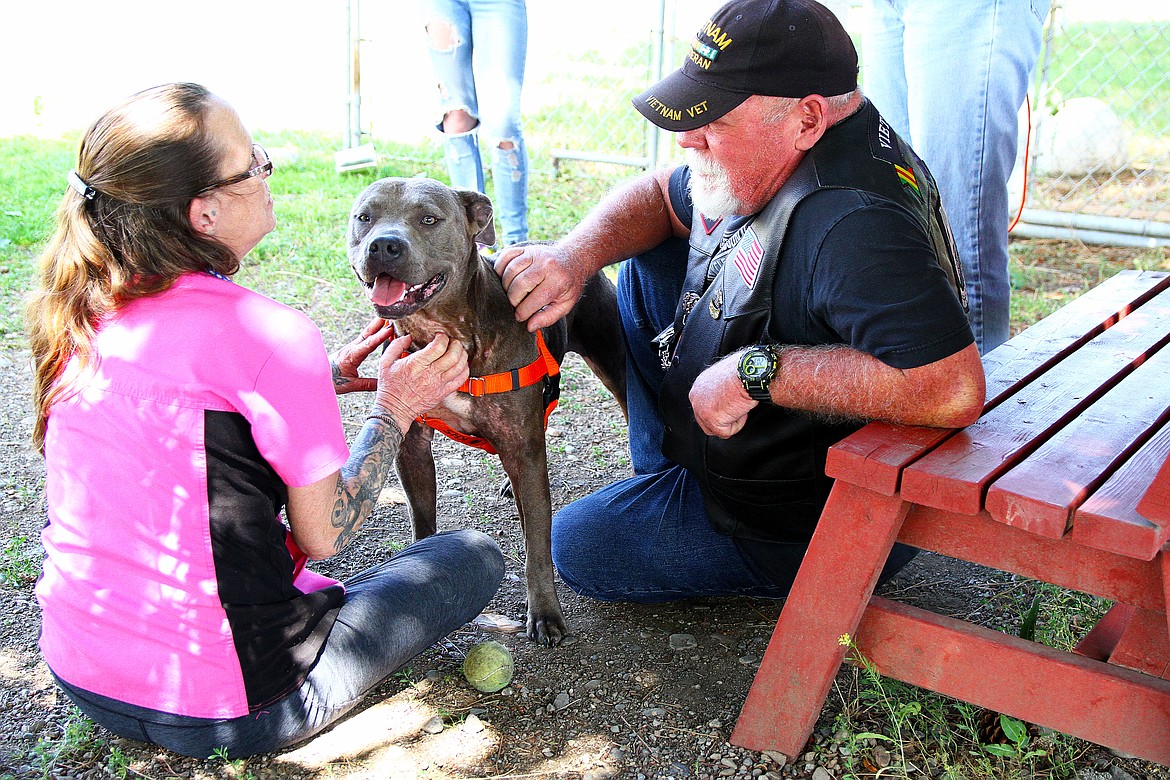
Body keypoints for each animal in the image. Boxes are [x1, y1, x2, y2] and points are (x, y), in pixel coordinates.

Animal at [346, 178, 627, 645]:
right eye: (364, 217)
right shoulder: (411, 447)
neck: (445, 331)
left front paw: (545, 613)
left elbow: (537, 548)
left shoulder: (524, 451)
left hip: (612, 366)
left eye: (429, 219)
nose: (383, 245)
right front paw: (423, 568)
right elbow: (423, 519)